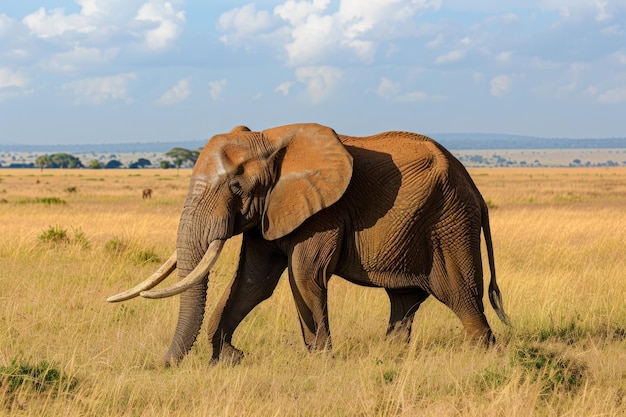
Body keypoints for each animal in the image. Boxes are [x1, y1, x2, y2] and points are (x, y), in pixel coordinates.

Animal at [106, 122, 508, 364]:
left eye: (236, 187)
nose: (161, 365)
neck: (269, 138)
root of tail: (475, 187)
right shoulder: (269, 213)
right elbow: (253, 282)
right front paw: (230, 357)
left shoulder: (324, 211)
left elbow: (303, 275)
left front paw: (320, 358)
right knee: (406, 299)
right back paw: (389, 357)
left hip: (449, 221)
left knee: (459, 293)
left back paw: (484, 355)